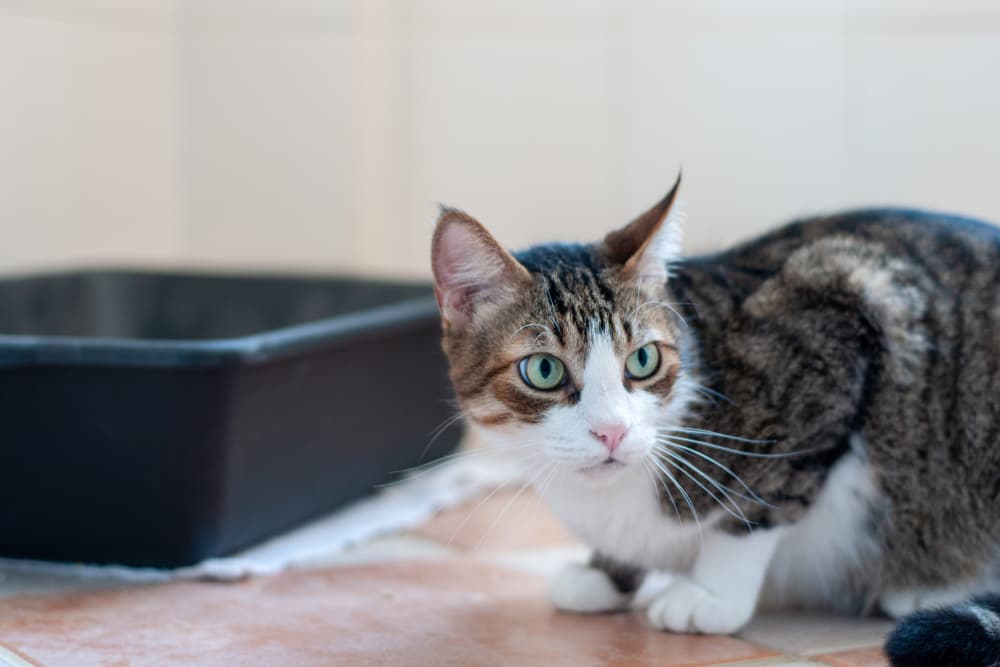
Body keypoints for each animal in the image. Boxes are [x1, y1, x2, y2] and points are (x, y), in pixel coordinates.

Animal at [434, 176, 1000, 667]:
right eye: (544, 370)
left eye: (643, 360)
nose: (613, 431)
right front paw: (606, 574)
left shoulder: (842, 311)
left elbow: (757, 504)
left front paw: (710, 593)